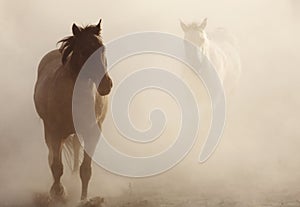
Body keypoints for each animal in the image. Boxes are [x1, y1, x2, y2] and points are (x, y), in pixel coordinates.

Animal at [33, 19, 112, 201]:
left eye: (102, 49)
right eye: (83, 51)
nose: (106, 85)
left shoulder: (92, 132)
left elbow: (86, 170)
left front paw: (84, 199)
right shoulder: (54, 131)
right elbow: (56, 166)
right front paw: (58, 193)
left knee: (76, 150)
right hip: (51, 132)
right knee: (52, 156)